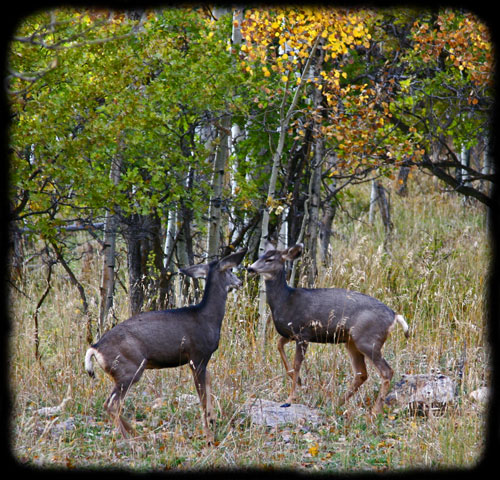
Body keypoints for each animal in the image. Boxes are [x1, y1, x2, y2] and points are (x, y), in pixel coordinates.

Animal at [85, 249, 247, 444]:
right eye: (230, 270)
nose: (240, 282)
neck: (207, 318)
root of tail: (95, 348)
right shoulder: (197, 356)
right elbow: (201, 396)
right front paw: (209, 436)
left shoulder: (203, 360)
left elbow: (209, 383)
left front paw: (213, 420)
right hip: (128, 369)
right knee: (111, 404)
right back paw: (131, 440)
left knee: (110, 404)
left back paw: (137, 434)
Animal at [248, 242, 408, 414]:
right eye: (260, 255)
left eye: (269, 259)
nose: (250, 268)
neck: (285, 301)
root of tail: (394, 316)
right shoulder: (290, 334)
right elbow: (279, 345)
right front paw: (298, 381)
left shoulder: (303, 333)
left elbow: (297, 364)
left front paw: (290, 399)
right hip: (351, 342)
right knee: (361, 374)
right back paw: (336, 404)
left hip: (368, 339)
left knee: (386, 371)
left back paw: (374, 411)